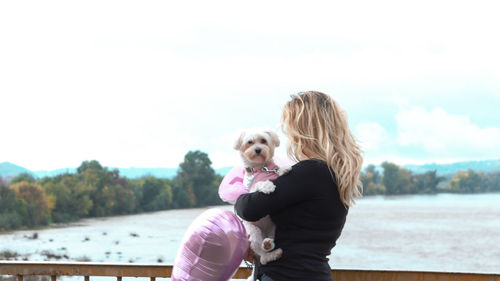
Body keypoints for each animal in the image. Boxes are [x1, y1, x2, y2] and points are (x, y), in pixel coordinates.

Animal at [235, 128, 292, 268]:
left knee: (267, 247)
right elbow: (258, 184)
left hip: (273, 229)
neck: (261, 168)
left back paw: (269, 246)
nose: (258, 149)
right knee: (261, 255)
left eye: (263, 141)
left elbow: (276, 170)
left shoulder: (272, 172)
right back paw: (268, 253)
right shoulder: (250, 190)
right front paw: (267, 186)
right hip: (253, 232)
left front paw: (283, 169)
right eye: (249, 142)